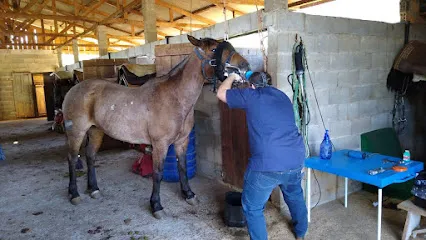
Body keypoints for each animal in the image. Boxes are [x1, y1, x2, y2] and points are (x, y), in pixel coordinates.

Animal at [61, 35, 251, 219]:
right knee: (72, 158)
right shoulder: (160, 145)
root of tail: (74, 89)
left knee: (90, 156)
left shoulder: (182, 141)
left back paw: (93, 189)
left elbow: (182, 167)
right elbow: (158, 173)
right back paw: (74, 194)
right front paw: (156, 206)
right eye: (213, 50)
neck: (175, 97)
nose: (244, 66)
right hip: (76, 132)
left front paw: (188, 195)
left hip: (96, 131)